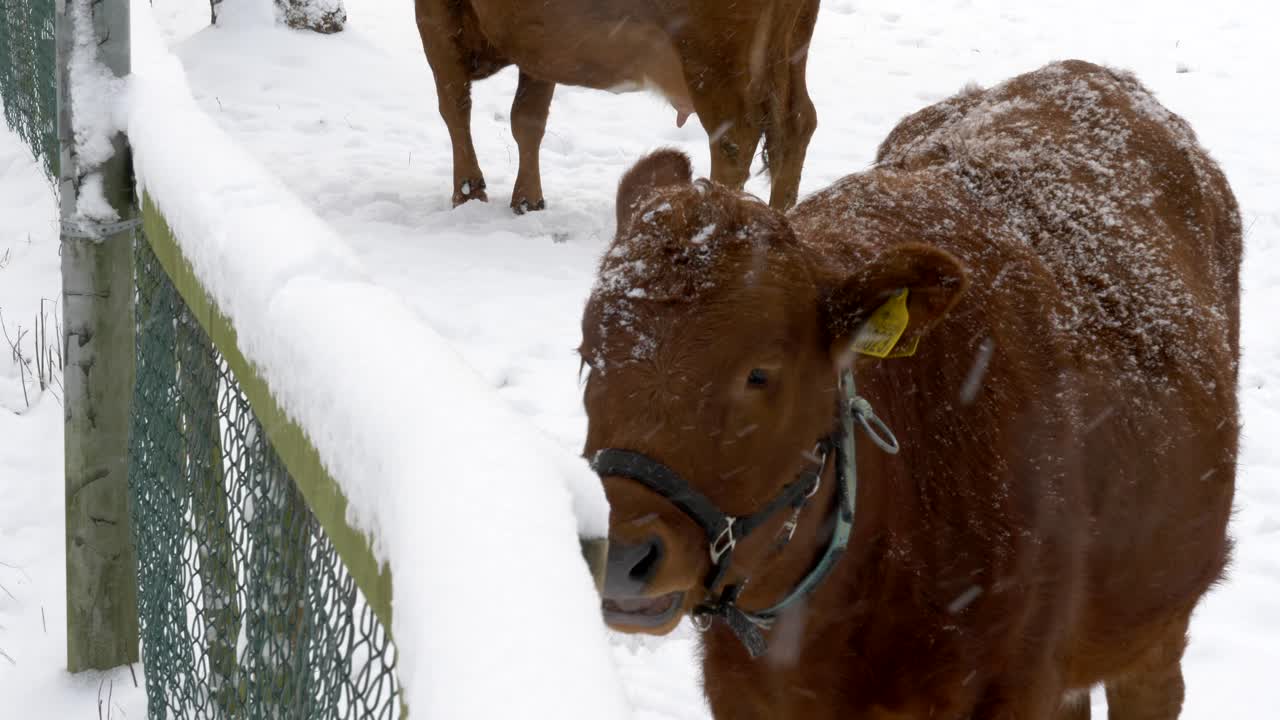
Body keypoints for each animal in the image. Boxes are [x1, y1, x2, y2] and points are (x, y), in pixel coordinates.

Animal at [417, 0, 819, 211]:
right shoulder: (538, 44)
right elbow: (527, 120)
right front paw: (528, 201)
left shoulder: (435, 15)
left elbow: (454, 106)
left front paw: (467, 193)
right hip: (789, 47)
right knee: (798, 121)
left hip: (715, 57)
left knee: (734, 137)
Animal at [581, 61, 1239, 717]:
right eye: (589, 358)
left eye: (760, 373)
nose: (622, 556)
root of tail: (1086, 71)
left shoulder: (1019, 685)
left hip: (1157, 626)